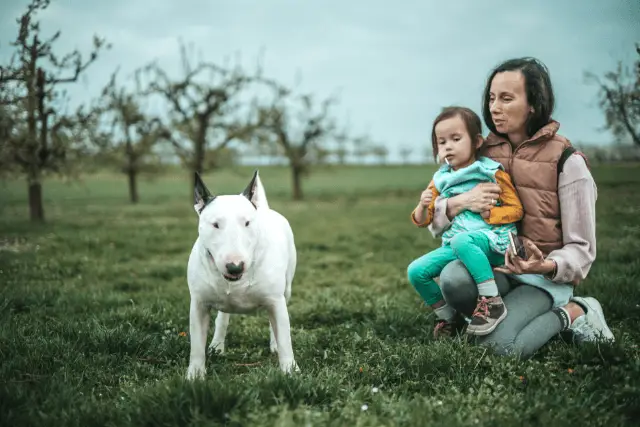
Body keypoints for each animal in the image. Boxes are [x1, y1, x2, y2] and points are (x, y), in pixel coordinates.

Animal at [184, 170, 296, 378]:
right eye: (215, 224)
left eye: (247, 223)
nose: (235, 267)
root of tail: (264, 209)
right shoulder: (198, 304)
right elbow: (196, 346)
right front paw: (194, 376)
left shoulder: (275, 300)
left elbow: (285, 339)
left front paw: (291, 372)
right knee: (222, 318)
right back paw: (217, 346)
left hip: (287, 288)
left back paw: (274, 345)